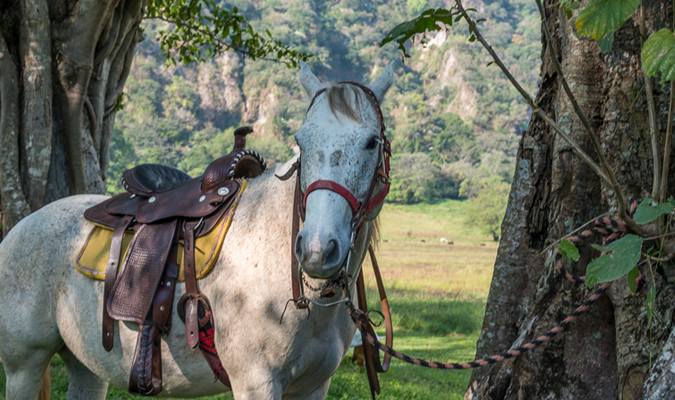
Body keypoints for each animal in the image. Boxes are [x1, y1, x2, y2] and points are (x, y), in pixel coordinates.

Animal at [0, 61, 396, 400]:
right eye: (301, 142)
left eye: (372, 142)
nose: (316, 249)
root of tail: (21, 227)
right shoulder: (257, 383)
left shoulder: (313, 387)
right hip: (24, 366)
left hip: (87, 366)